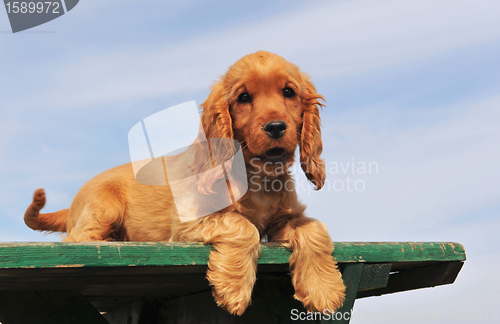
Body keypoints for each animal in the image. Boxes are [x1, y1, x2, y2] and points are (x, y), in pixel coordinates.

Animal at [23, 52, 344, 316]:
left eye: (289, 92)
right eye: (243, 98)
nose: (276, 127)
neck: (257, 178)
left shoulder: (287, 216)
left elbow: (314, 228)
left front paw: (324, 289)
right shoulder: (189, 222)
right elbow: (243, 227)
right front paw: (234, 288)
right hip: (104, 206)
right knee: (77, 238)